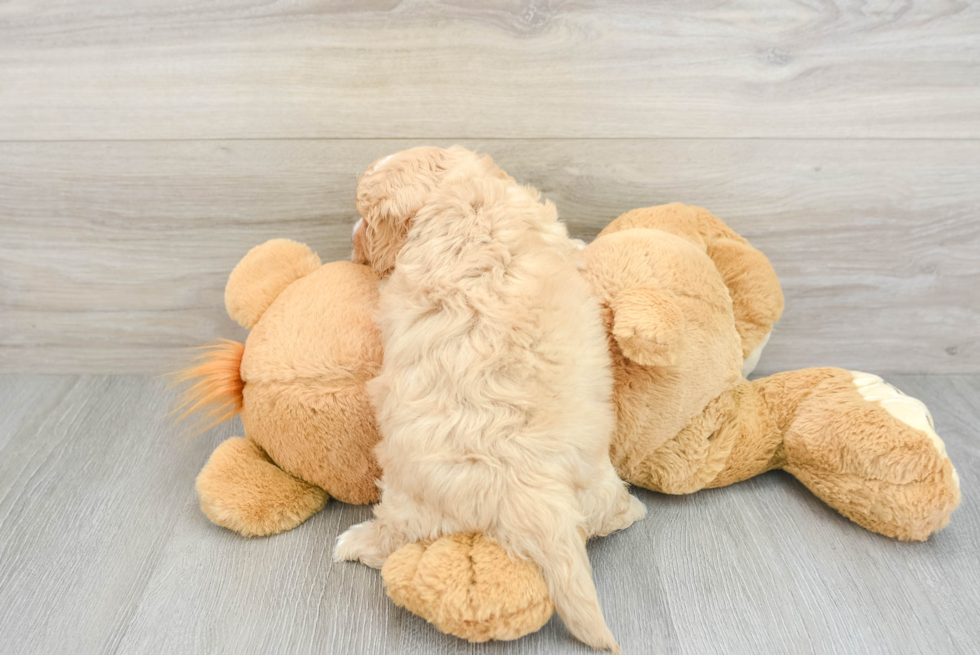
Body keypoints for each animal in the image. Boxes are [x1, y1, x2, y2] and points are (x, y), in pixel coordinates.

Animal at [336, 146, 644, 652]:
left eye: (364, 217)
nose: (351, 238)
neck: (458, 195)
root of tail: (536, 501)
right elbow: (570, 248)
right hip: (595, 478)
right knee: (607, 513)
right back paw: (629, 512)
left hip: (407, 497)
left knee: (395, 535)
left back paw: (354, 543)